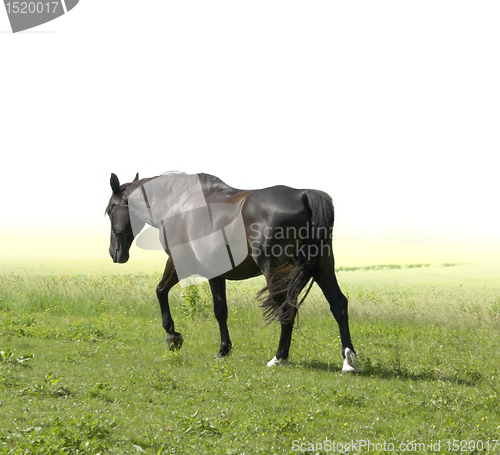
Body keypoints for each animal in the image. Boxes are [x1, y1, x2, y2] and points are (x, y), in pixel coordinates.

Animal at [105, 171, 358, 374]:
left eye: (110, 210)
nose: (114, 253)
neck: (178, 203)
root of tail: (304, 195)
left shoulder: (178, 262)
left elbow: (161, 291)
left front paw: (173, 337)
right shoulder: (216, 273)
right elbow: (221, 310)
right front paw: (224, 349)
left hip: (276, 271)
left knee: (287, 309)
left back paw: (279, 358)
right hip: (323, 267)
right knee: (338, 304)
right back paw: (348, 361)